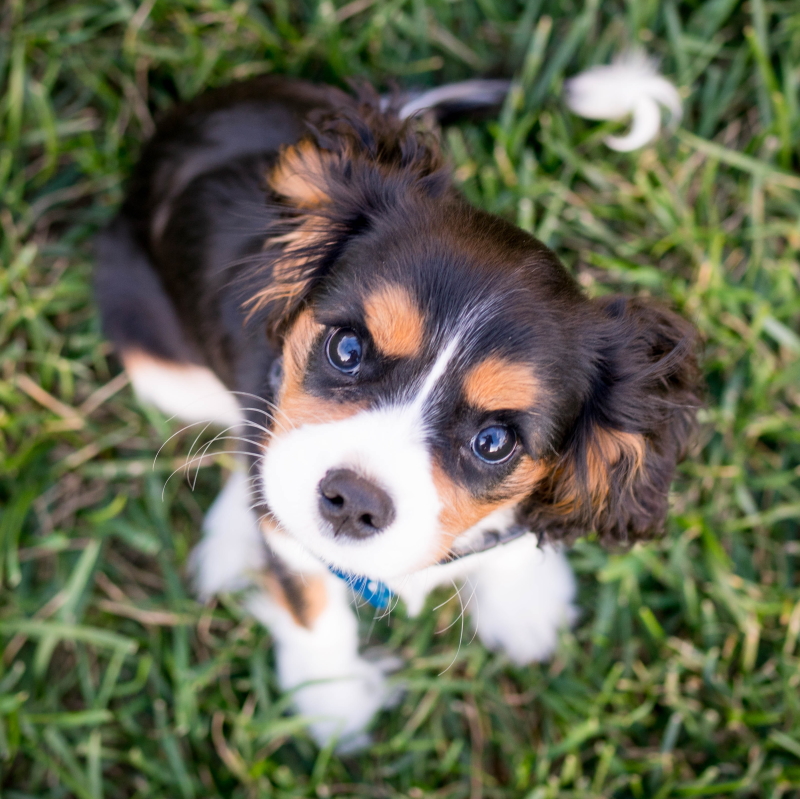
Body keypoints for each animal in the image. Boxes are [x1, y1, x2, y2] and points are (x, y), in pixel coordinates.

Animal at [95, 73, 700, 752]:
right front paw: (331, 705)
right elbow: (310, 602)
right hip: (156, 356)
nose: (353, 501)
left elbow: (513, 535)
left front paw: (524, 604)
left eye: (495, 441)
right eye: (347, 349)